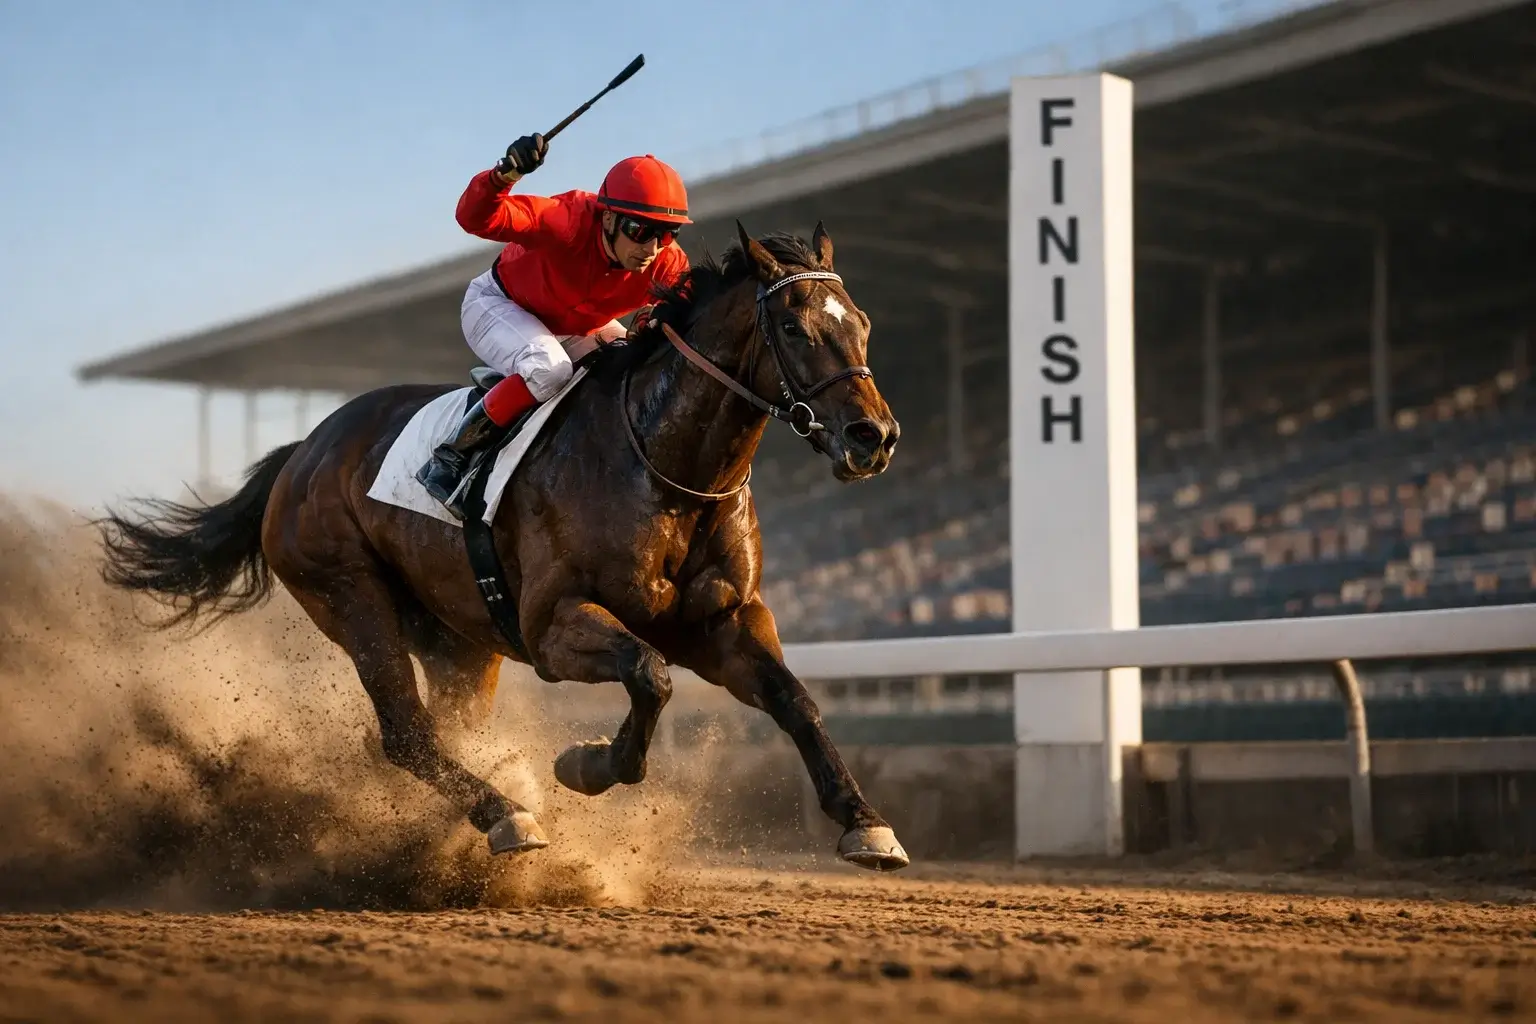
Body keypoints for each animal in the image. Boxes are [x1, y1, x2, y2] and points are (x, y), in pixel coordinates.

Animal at [98, 222, 911, 872]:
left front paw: (867, 825)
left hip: (460, 640)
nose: (874, 437)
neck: (663, 464)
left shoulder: (724, 622)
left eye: (864, 323)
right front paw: (586, 765)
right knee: (406, 734)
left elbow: (794, 699)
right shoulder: (552, 627)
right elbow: (650, 675)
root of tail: (303, 452)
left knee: (446, 726)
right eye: (797, 330)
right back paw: (507, 815)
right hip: (351, 595)